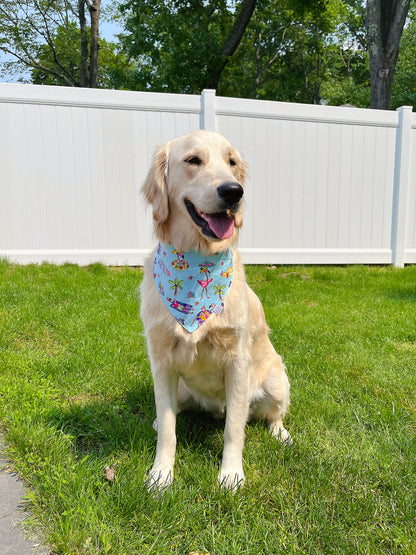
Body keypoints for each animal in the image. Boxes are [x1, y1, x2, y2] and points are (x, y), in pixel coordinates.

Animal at [140, 129, 290, 490]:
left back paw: (280, 433)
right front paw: (161, 475)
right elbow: (169, 432)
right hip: (182, 389)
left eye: (232, 162)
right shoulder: (161, 362)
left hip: (276, 381)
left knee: (274, 414)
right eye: (193, 160)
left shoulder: (237, 362)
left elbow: (234, 428)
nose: (233, 191)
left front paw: (231, 475)